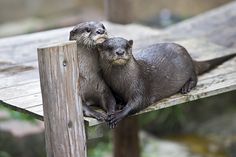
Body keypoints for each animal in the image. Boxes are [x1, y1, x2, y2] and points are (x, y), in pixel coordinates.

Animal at [97, 37, 236, 127]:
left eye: (126, 46)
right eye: (109, 47)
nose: (120, 52)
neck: (121, 83)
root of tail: (189, 56)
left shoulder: (141, 85)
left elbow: (137, 103)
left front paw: (118, 115)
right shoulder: (113, 88)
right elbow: (118, 98)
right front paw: (119, 104)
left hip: (188, 67)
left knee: (195, 78)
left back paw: (186, 87)